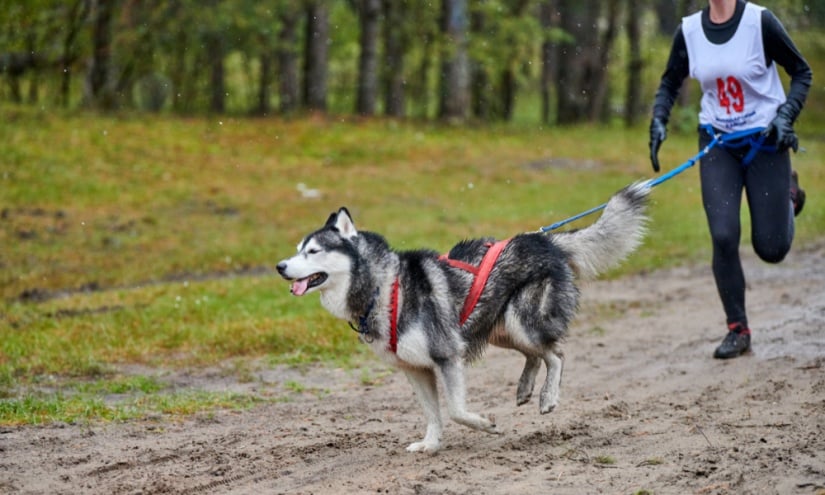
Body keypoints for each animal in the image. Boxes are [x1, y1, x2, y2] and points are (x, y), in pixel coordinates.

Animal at [278, 183, 652, 454]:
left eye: (313, 251)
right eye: (296, 250)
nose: (280, 266)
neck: (383, 289)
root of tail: (544, 239)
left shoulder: (447, 356)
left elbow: (456, 410)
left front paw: (485, 424)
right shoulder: (416, 370)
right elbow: (433, 413)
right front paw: (430, 445)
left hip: (521, 322)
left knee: (556, 354)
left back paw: (547, 397)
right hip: (501, 329)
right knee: (537, 355)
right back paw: (525, 388)